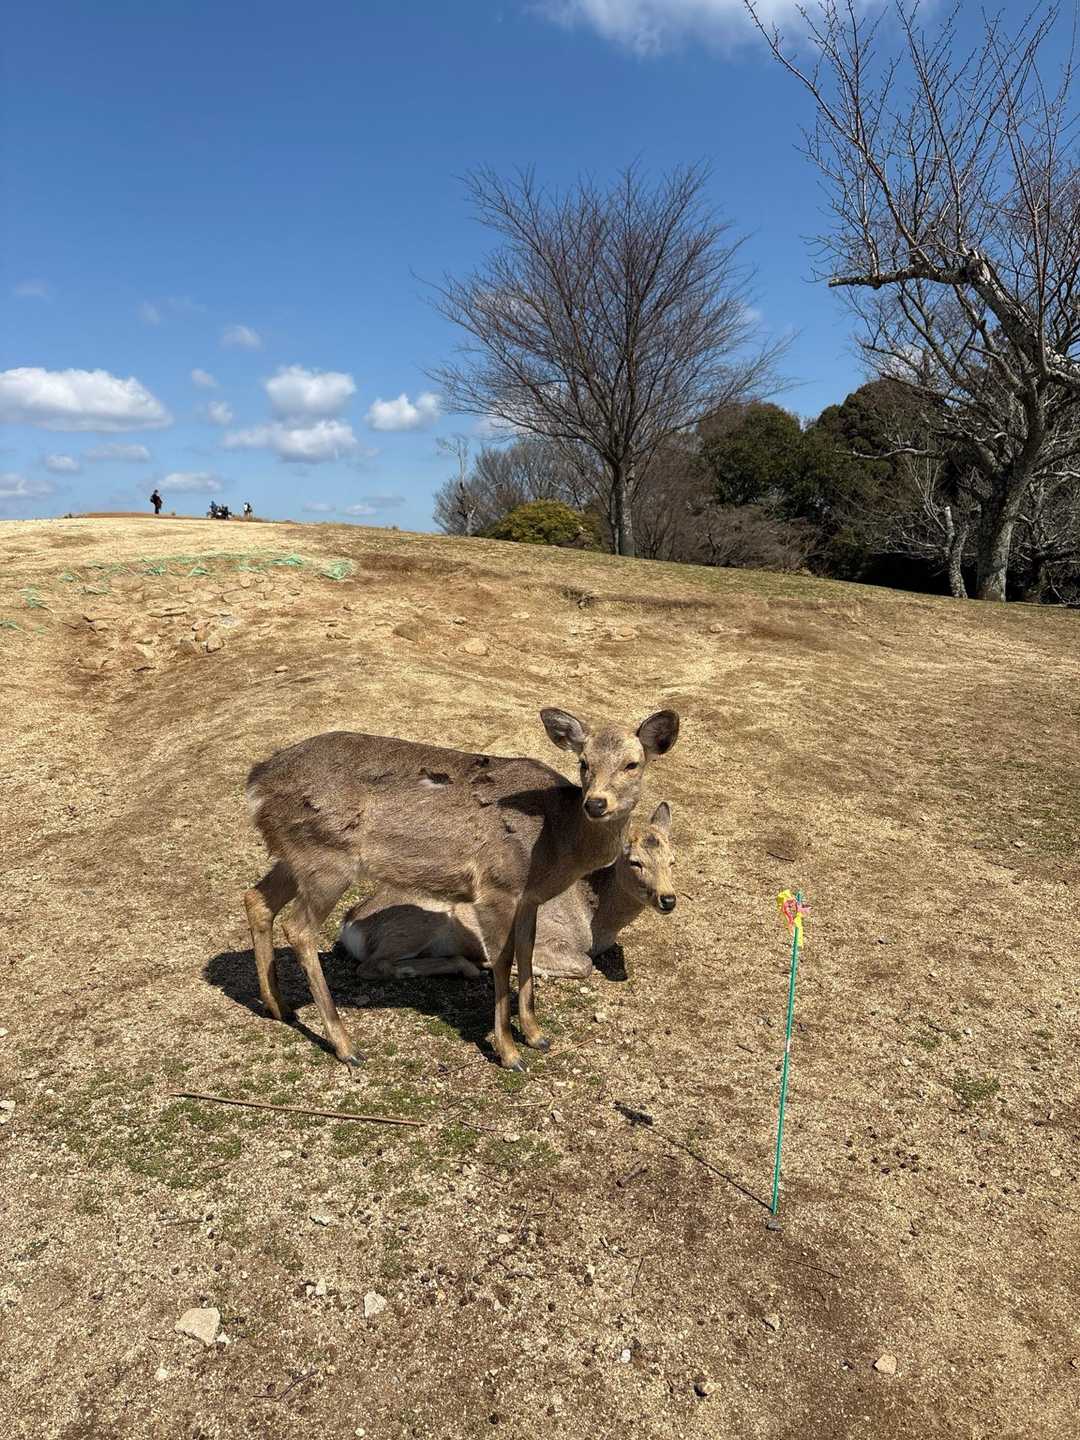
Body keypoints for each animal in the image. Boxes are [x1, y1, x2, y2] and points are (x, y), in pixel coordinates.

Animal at [336, 801, 677, 981]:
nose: (668, 899)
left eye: (673, 860)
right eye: (634, 861)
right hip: (418, 922)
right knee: (371, 965)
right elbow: (585, 965)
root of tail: (349, 924)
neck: (595, 924)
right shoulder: (550, 937)